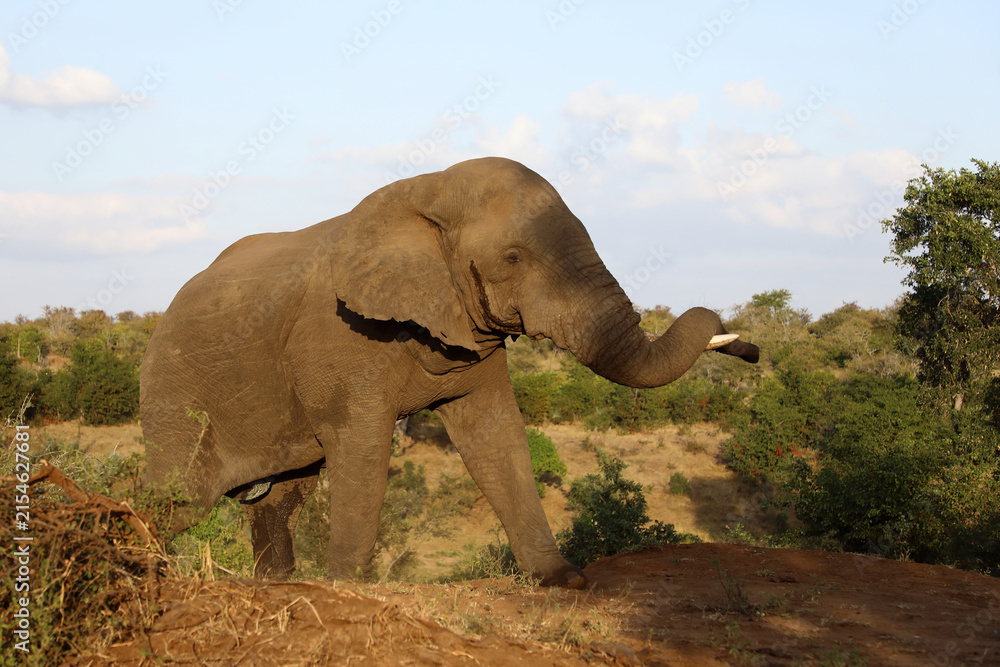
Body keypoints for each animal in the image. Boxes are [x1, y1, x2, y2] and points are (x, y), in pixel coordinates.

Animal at [140, 156, 759, 588]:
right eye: (513, 258)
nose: (750, 351)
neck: (428, 191)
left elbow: (497, 434)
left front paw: (565, 581)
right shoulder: (338, 337)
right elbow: (362, 448)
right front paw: (344, 586)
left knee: (281, 496)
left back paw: (273, 583)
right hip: (171, 392)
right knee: (181, 498)